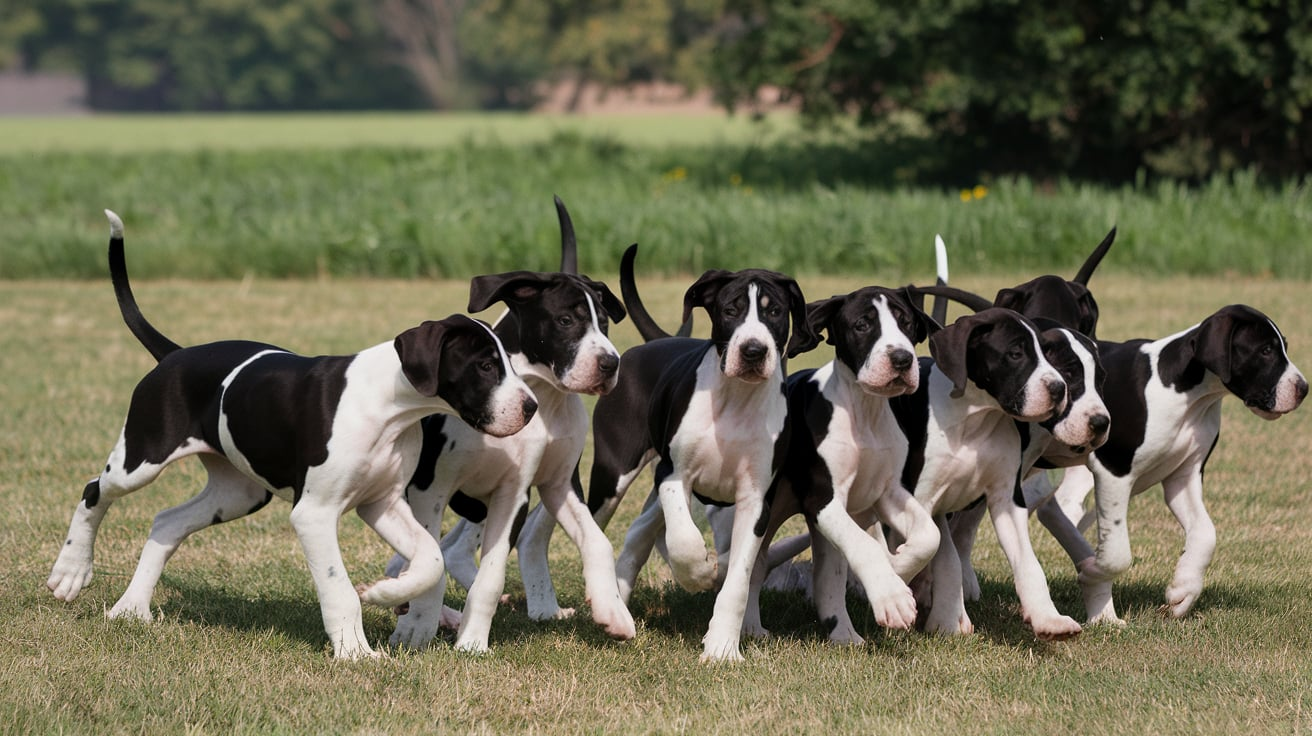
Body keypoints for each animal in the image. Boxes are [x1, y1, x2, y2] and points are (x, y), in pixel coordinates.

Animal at [47, 209, 537, 655]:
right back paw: (71, 571)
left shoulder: (382, 503)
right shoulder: (314, 514)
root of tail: (175, 353)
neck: (386, 404)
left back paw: (131, 608)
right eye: (485, 366)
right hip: (142, 458)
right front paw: (355, 652)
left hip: (238, 492)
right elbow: (339, 590)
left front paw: (384, 593)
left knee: (167, 522)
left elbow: (430, 558)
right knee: (95, 490)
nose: (531, 407)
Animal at [587, 246, 813, 661]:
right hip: (613, 473)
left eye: (775, 312)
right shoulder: (673, 476)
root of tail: (656, 342)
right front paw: (701, 574)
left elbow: (740, 576)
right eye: (730, 310)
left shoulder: (756, 500)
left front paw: (723, 646)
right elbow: (684, 541)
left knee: (638, 533)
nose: (753, 351)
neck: (737, 397)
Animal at [739, 287, 944, 642]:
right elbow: (865, 545)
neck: (865, 410)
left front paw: (899, 568)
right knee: (758, 563)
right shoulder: (824, 500)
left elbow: (930, 535)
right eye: (862, 325)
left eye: (905, 323)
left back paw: (844, 634)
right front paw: (891, 597)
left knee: (828, 576)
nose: (902, 359)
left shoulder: (889, 492)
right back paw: (751, 626)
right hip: (770, 509)